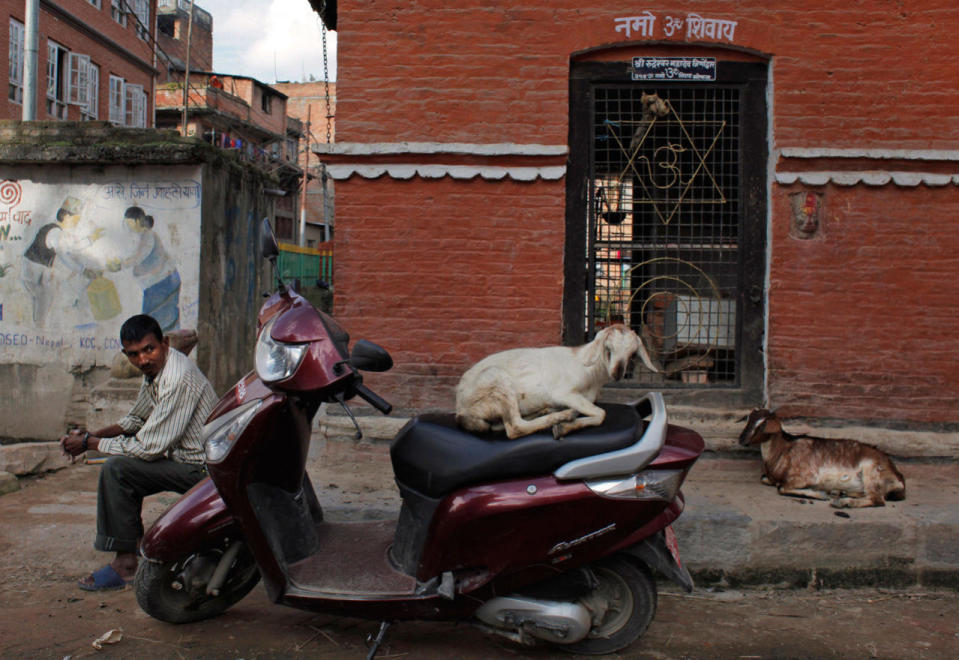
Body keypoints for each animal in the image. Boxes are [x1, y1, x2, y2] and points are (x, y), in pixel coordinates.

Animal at [458, 324, 660, 438]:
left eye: (632, 354)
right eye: (608, 348)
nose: (617, 373)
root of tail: (461, 410)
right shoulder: (564, 393)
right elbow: (601, 413)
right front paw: (562, 428)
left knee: (501, 425)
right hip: (497, 382)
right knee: (515, 427)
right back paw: (561, 416)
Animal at [744, 408, 908, 510]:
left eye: (763, 425)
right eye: (749, 420)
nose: (742, 440)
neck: (782, 450)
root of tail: (899, 478)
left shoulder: (806, 476)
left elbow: (782, 488)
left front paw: (820, 494)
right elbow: (765, 479)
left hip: (872, 471)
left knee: (877, 500)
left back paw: (843, 503)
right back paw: (839, 493)